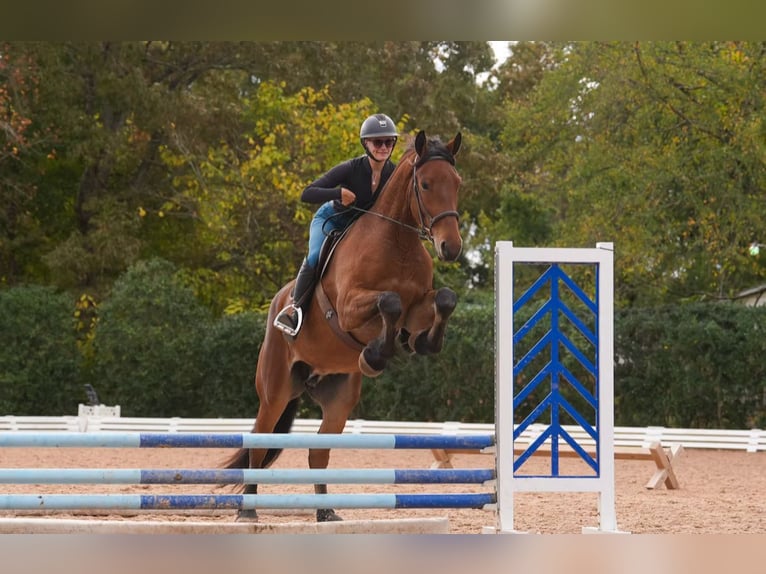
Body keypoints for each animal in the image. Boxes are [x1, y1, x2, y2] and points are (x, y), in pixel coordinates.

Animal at [224, 129, 463, 522]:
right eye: (426, 184)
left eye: (457, 183)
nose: (451, 247)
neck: (396, 243)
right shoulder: (351, 307)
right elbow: (389, 302)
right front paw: (376, 355)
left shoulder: (418, 307)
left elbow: (444, 299)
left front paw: (418, 344)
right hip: (274, 390)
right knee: (260, 441)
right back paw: (248, 511)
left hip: (337, 398)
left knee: (318, 453)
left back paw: (325, 512)